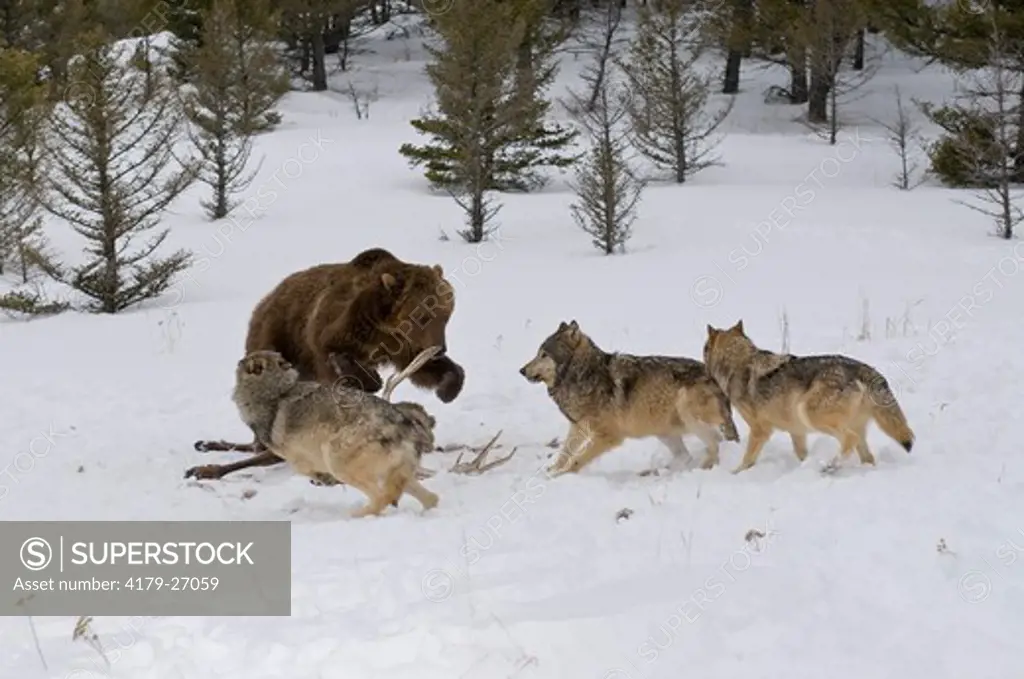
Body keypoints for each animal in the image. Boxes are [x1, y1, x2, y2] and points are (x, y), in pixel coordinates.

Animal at [186, 246, 466, 481]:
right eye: (423, 315)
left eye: (446, 314)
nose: (441, 348)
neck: (384, 329)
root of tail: (267, 297)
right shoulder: (337, 329)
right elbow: (337, 358)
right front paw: (369, 379)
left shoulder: (405, 345)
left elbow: (425, 370)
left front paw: (448, 387)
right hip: (275, 335)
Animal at [232, 350, 440, 516]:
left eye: (248, 364)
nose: (239, 361)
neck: (276, 391)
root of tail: (403, 425)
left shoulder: (297, 458)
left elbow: (303, 469)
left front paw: (322, 479)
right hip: (398, 475)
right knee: (431, 498)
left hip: (338, 463)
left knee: (383, 497)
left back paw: (355, 515)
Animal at [520, 319, 737, 475]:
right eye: (538, 353)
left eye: (544, 354)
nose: (522, 370)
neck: (583, 374)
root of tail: (717, 380)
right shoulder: (578, 426)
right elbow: (564, 453)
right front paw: (551, 471)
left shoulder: (608, 436)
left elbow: (576, 459)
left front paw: (559, 476)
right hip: (664, 431)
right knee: (687, 455)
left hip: (686, 410)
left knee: (716, 443)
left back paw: (702, 469)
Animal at [700, 321, 917, 475]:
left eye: (704, 349)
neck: (738, 362)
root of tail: (862, 368)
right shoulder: (796, 431)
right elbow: (801, 454)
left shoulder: (760, 430)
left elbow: (748, 459)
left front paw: (734, 473)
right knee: (867, 457)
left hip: (810, 414)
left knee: (849, 440)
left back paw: (829, 467)